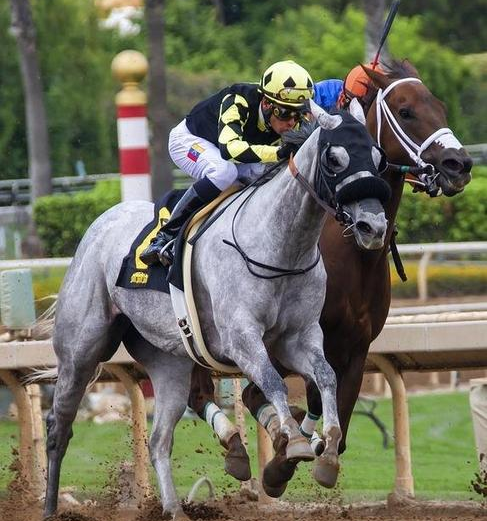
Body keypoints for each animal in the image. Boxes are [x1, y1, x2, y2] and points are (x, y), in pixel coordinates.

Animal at [43, 99, 390, 516]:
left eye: (378, 158)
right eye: (335, 158)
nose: (373, 227)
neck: (279, 246)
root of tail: (100, 224)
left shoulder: (299, 337)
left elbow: (325, 377)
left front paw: (329, 451)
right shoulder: (241, 338)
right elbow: (272, 380)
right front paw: (292, 441)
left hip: (169, 361)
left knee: (159, 439)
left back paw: (175, 509)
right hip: (81, 349)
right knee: (59, 424)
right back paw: (49, 507)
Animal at [186, 59, 472, 494]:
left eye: (439, 106)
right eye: (406, 111)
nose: (459, 165)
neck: (348, 255)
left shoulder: (355, 348)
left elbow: (332, 408)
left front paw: (314, 450)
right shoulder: (276, 344)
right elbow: (258, 396)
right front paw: (280, 462)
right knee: (196, 390)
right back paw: (236, 445)